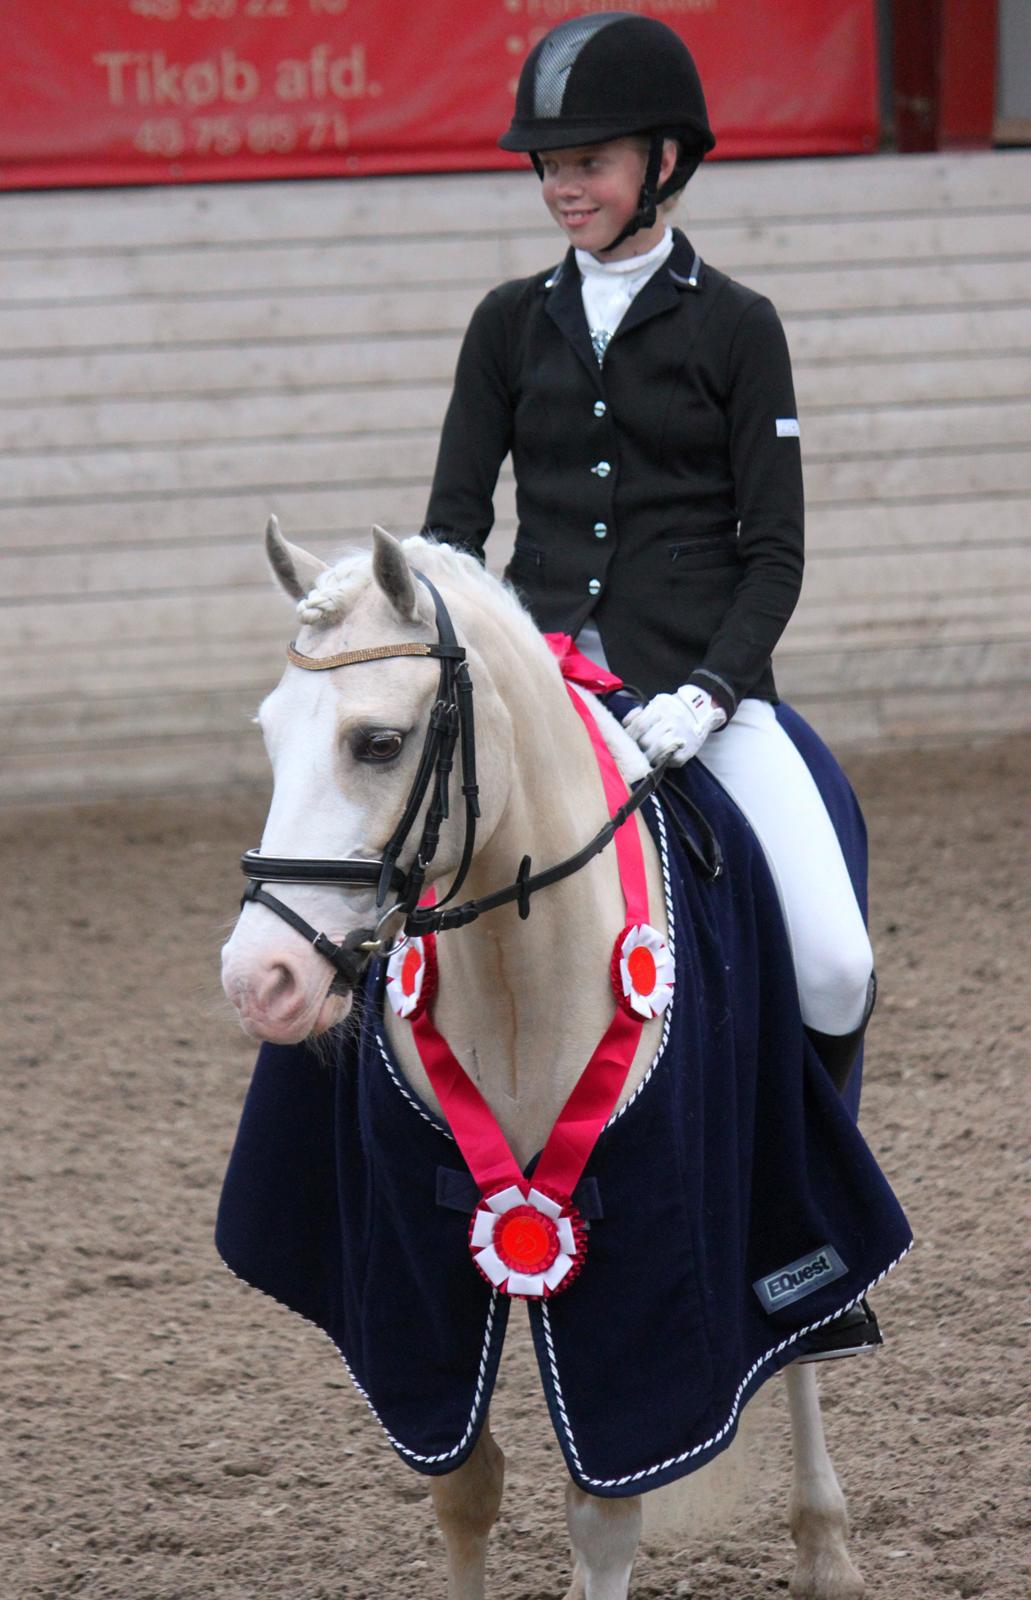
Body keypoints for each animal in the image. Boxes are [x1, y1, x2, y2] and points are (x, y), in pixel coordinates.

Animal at [219, 524, 909, 1600]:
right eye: (269, 734)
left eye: (378, 743)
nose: (260, 979)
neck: (517, 977)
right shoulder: (411, 1257)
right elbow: (463, 1486)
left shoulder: (644, 1275)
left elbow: (604, 1511)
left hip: (790, 1152)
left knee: (802, 1328)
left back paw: (825, 1549)